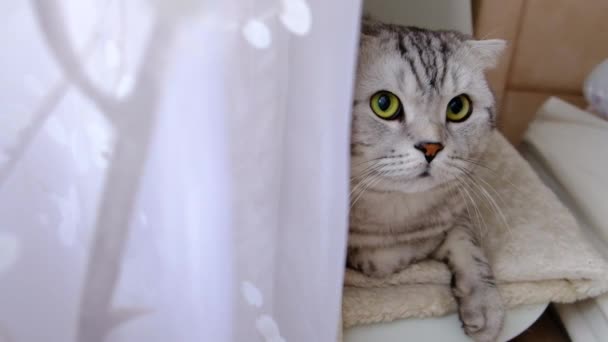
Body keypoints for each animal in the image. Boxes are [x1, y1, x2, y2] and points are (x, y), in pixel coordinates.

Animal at [350, 20, 506, 340]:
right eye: (383, 103)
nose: (431, 147)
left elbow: (468, 244)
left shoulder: (456, 209)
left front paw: (486, 305)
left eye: (458, 107)